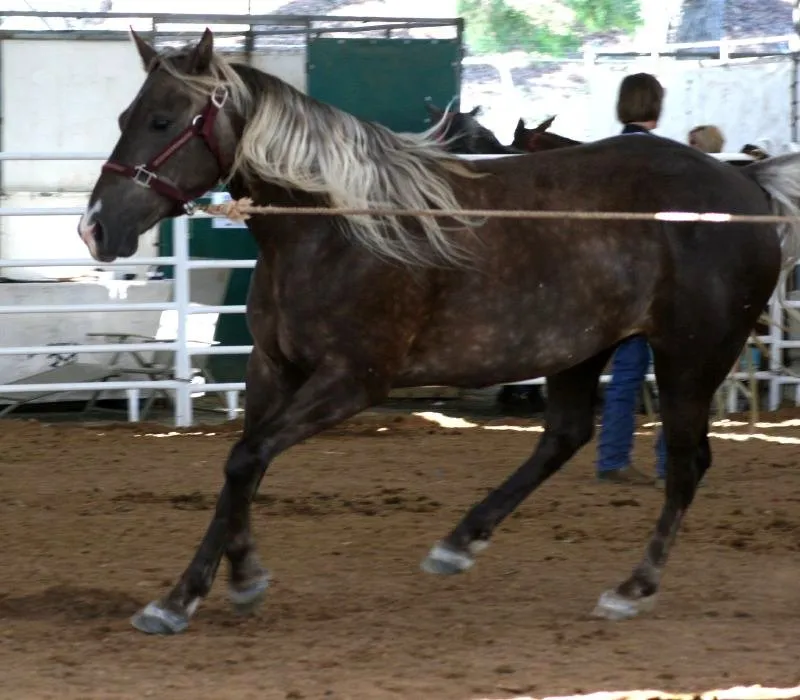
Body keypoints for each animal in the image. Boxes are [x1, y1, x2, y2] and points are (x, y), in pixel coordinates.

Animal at [79, 28, 800, 636]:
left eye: (163, 120)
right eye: (123, 118)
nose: (95, 227)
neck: (334, 226)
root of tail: (744, 182)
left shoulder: (352, 381)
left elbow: (245, 459)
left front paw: (197, 593)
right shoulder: (271, 368)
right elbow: (243, 465)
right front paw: (224, 583)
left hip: (691, 358)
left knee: (686, 463)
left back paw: (633, 587)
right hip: (582, 348)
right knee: (567, 435)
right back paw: (460, 541)